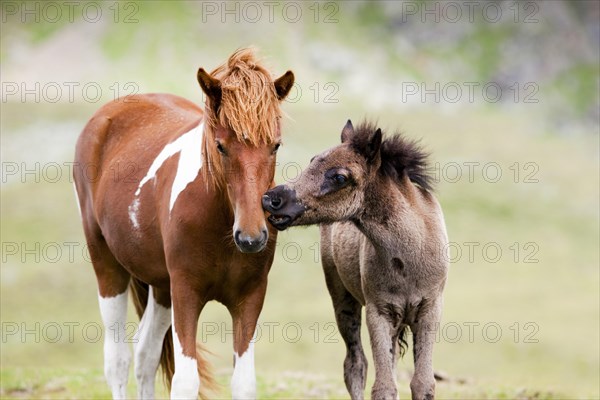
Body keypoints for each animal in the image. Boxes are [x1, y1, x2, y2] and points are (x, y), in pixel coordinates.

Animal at [74, 48, 294, 398]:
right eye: (220, 146)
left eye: (275, 145)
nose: (251, 238)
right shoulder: (186, 293)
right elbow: (185, 381)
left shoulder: (249, 297)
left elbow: (244, 383)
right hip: (109, 268)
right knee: (118, 360)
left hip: (162, 287)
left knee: (145, 354)